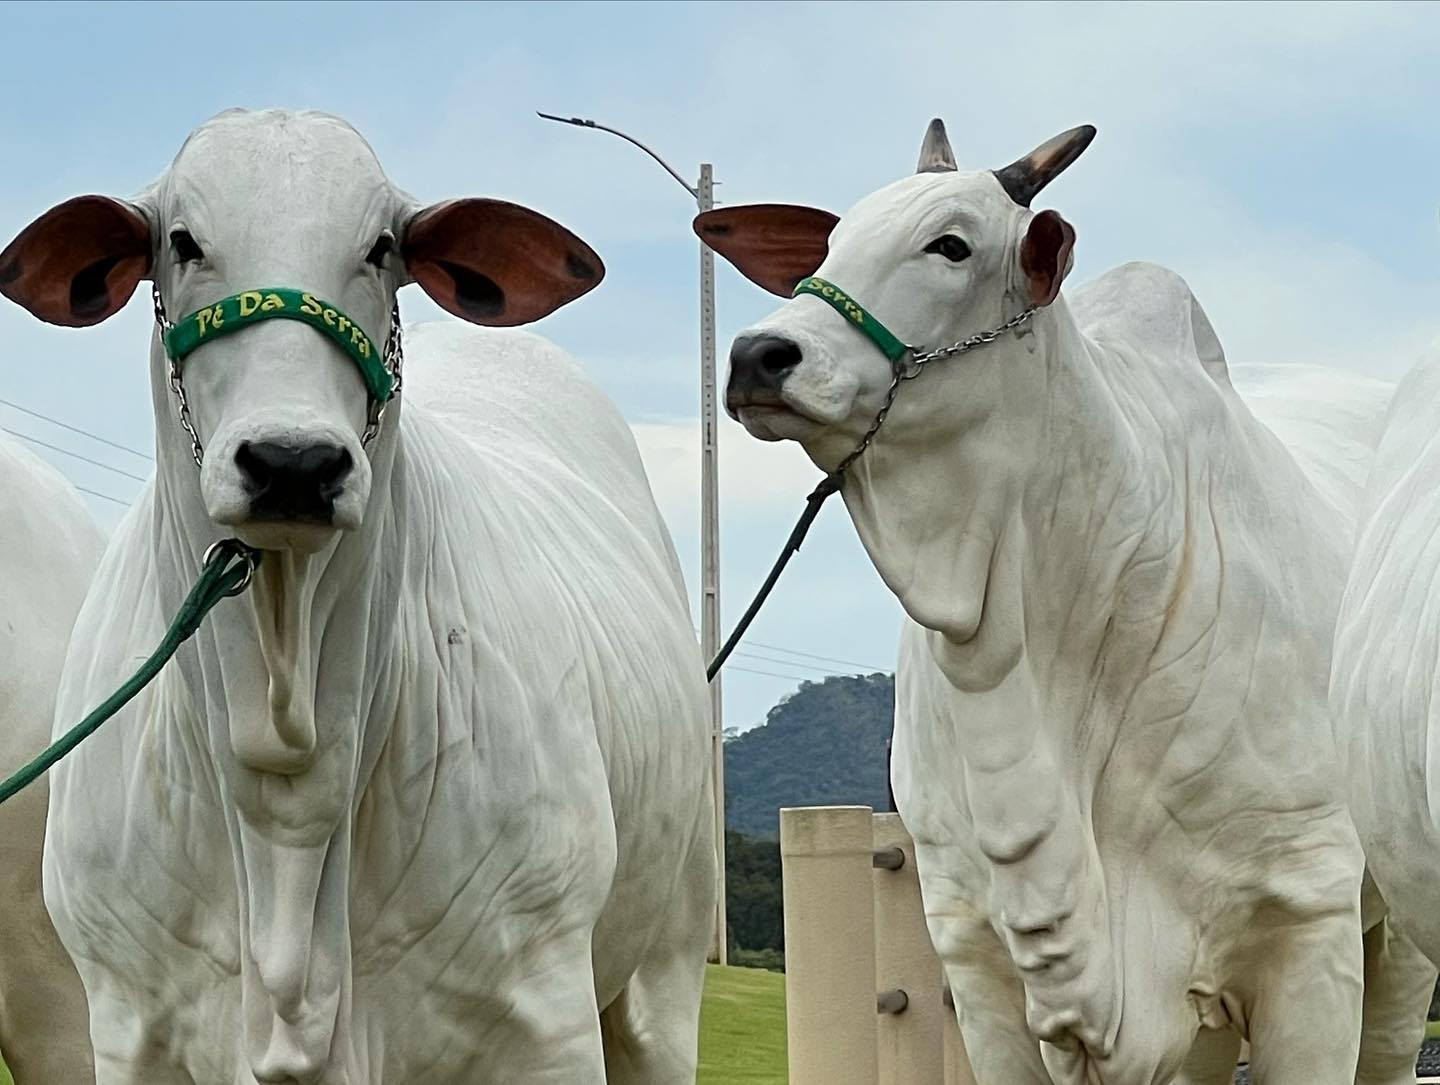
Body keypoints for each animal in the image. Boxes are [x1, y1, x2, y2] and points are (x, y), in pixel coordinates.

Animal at [0, 110, 714, 1083]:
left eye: (381, 248)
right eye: (181, 242)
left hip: (666, 967)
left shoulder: (546, 1024)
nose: (293, 461)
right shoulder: (117, 1027)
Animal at [694, 122, 1428, 1083]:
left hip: (1399, 931)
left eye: (951, 244)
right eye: (828, 243)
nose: (758, 356)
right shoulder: (975, 952)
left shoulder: (1308, 927)